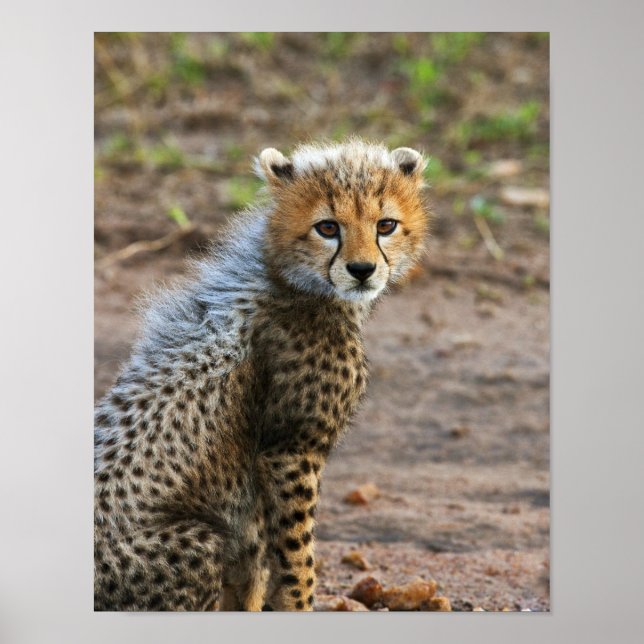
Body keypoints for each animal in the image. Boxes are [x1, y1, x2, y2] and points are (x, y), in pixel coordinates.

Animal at [94, 138, 430, 611]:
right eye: (328, 227)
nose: (362, 270)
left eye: (386, 225)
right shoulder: (291, 451)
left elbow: (257, 564)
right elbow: (296, 554)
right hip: (199, 541)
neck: (292, 281)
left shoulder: (254, 479)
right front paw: (298, 602)